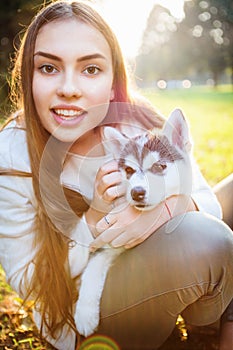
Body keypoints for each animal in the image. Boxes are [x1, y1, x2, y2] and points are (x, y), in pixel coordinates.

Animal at [75, 109, 193, 336]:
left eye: (159, 166)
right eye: (129, 171)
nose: (137, 192)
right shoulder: (109, 243)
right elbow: (92, 267)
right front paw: (85, 313)